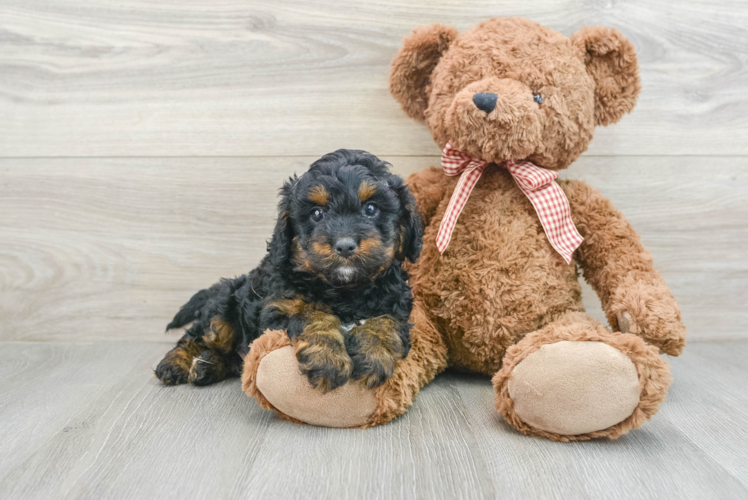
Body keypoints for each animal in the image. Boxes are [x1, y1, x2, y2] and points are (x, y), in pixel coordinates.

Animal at [153, 148, 420, 390]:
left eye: (371, 209)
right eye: (317, 214)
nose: (344, 245)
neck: (344, 290)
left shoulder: (396, 304)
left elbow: (386, 321)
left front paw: (374, 355)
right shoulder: (278, 307)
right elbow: (312, 314)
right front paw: (327, 359)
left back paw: (206, 366)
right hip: (222, 313)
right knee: (198, 335)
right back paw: (176, 363)